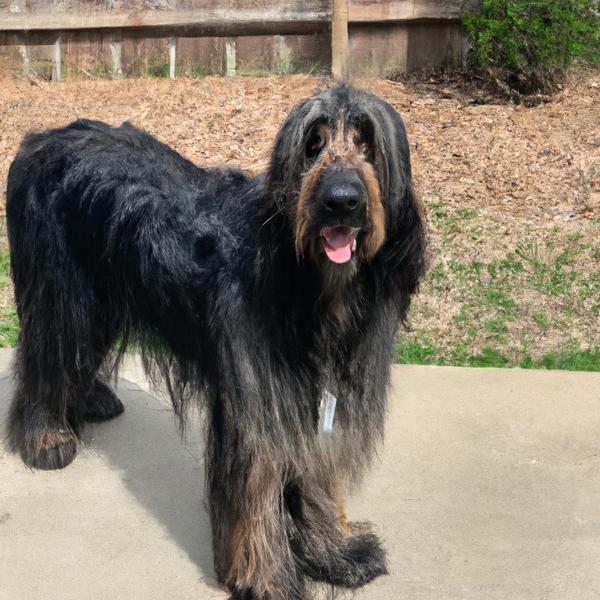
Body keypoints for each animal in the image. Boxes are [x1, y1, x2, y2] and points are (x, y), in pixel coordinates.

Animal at [4, 85, 426, 600]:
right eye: (312, 144)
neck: (308, 291)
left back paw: (90, 401)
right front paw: (266, 578)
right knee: (48, 352)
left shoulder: (312, 395)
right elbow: (257, 485)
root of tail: (43, 137)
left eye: (368, 142)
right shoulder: (256, 397)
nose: (340, 201)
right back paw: (46, 436)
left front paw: (333, 552)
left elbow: (315, 474)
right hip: (62, 288)